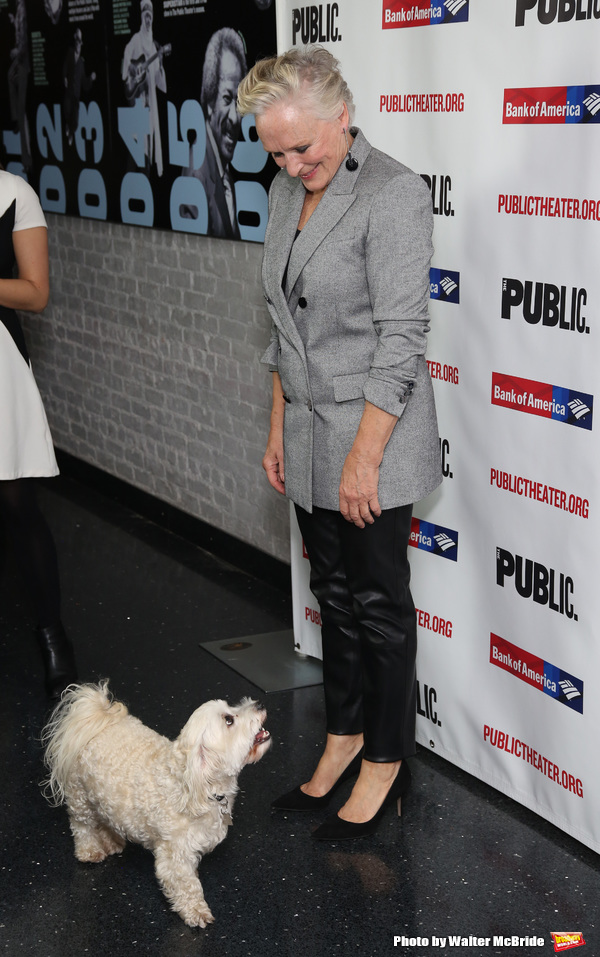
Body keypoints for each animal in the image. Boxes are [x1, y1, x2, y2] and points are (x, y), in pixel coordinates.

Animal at [44, 680, 272, 928]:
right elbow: (186, 884)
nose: (260, 703)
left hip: (105, 797)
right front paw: (195, 911)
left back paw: (111, 840)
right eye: (229, 720)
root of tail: (96, 717)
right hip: (81, 797)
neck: (195, 785)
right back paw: (89, 850)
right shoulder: (175, 855)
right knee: (82, 825)